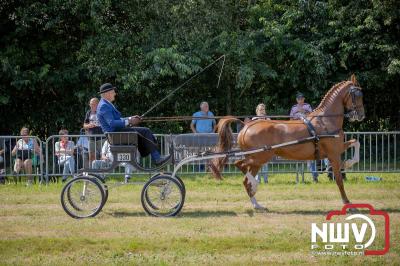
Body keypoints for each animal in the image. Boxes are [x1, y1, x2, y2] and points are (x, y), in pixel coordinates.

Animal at [212, 74, 366, 210]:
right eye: (357, 95)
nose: (361, 115)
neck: (326, 120)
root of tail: (246, 126)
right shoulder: (333, 154)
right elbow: (339, 180)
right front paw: (347, 203)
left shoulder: (337, 148)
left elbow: (356, 142)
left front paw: (348, 163)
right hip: (261, 156)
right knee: (239, 165)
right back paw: (255, 186)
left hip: (257, 159)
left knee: (245, 180)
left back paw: (257, 205)